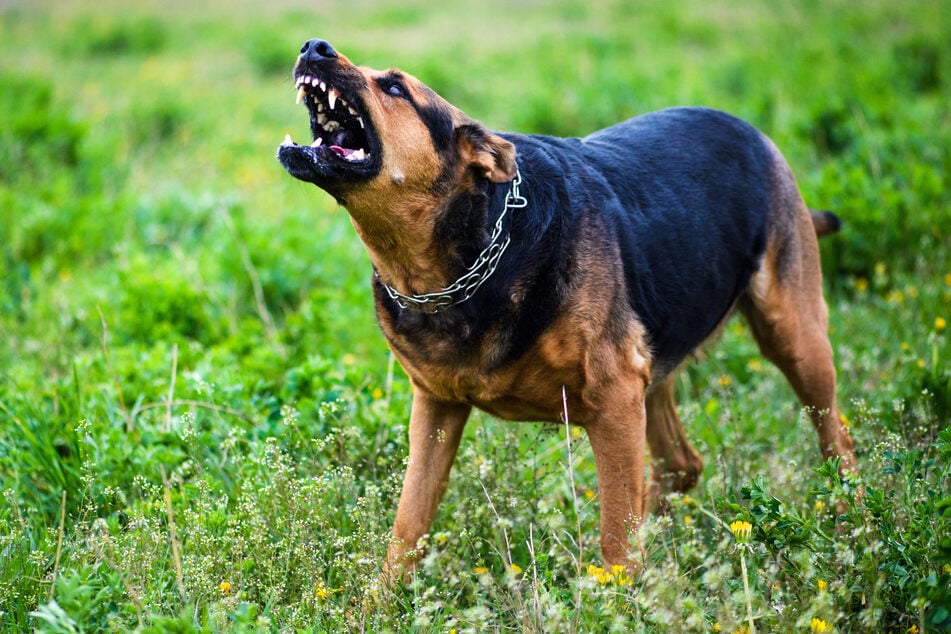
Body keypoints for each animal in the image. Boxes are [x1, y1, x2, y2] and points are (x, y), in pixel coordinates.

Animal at [276, 37, 856, 576]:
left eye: (395, 87)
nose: (313, 46)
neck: (460, 260)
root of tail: (751, 131)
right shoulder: (435, 409)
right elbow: (407, 526)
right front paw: (381, 604)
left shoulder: (615, 400)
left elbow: (616, 536)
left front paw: (619, 603)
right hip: (655, 364)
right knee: (682, 464)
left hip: (793, 336)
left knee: (837, 441)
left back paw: (853, 527)